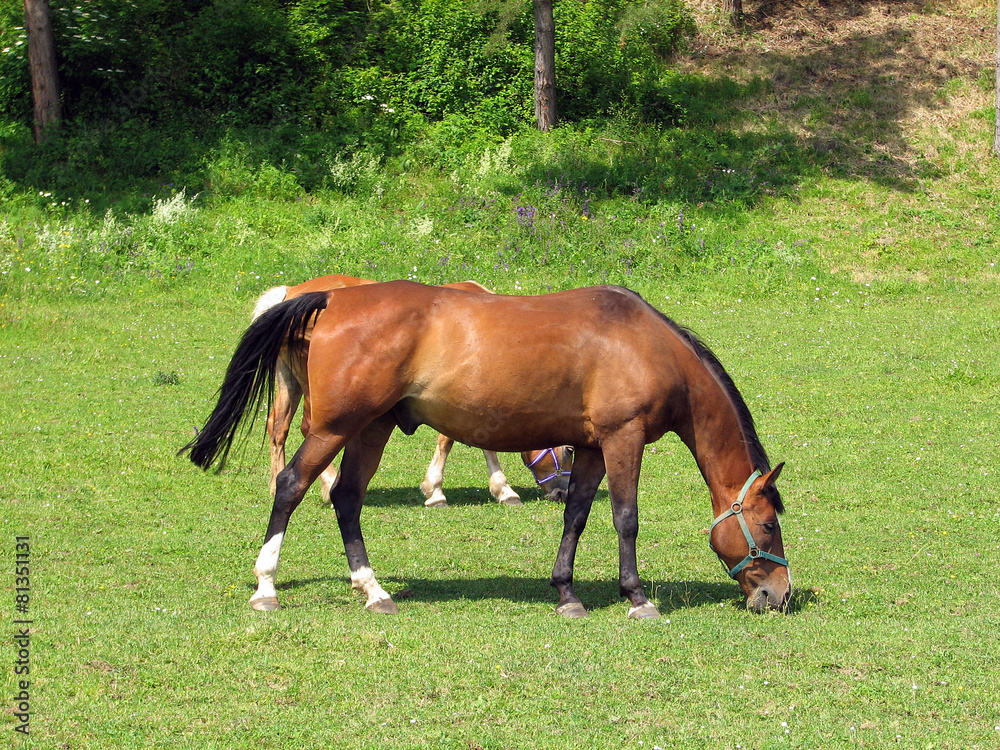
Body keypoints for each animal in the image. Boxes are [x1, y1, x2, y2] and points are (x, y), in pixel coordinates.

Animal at [252, 273, 574, 505]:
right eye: (569, 450)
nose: (562, 493)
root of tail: (291, 292)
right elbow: (449, 441)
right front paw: (438, 490)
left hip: (291, 380)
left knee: (278, 427)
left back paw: (276, 484)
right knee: (310, 429)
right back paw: (328, 485)